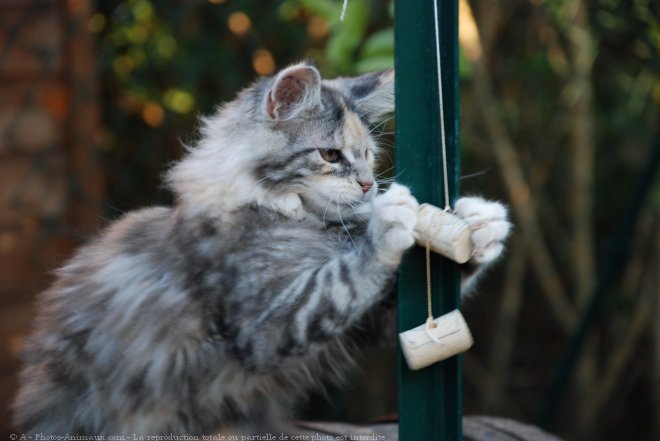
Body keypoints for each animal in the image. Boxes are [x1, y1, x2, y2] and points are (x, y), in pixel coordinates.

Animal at [12, 61, 512, 434]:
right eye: (330, 155)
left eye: (368, 155)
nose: (370, 185)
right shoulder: (265, 321)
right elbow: (346, 277)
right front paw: (390, 221)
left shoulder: (370, 321)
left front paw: (481, 225)